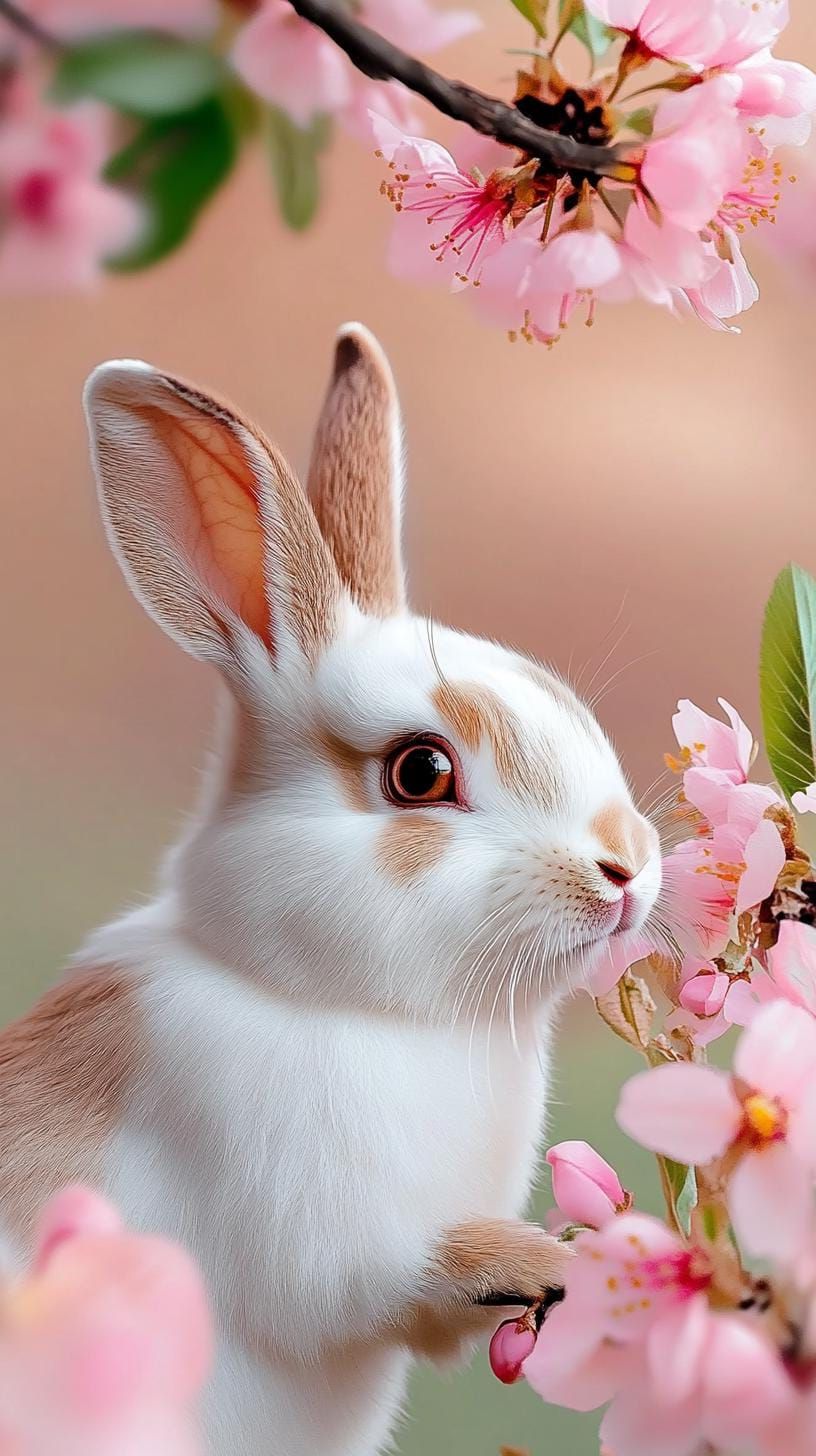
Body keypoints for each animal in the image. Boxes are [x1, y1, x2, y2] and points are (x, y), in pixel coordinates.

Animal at [0, 323, 662, 1456]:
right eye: (419, 773)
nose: (625, 867)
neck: (344, 1004)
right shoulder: (315, 1234)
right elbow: (390, 1272)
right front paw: (539, 1260)